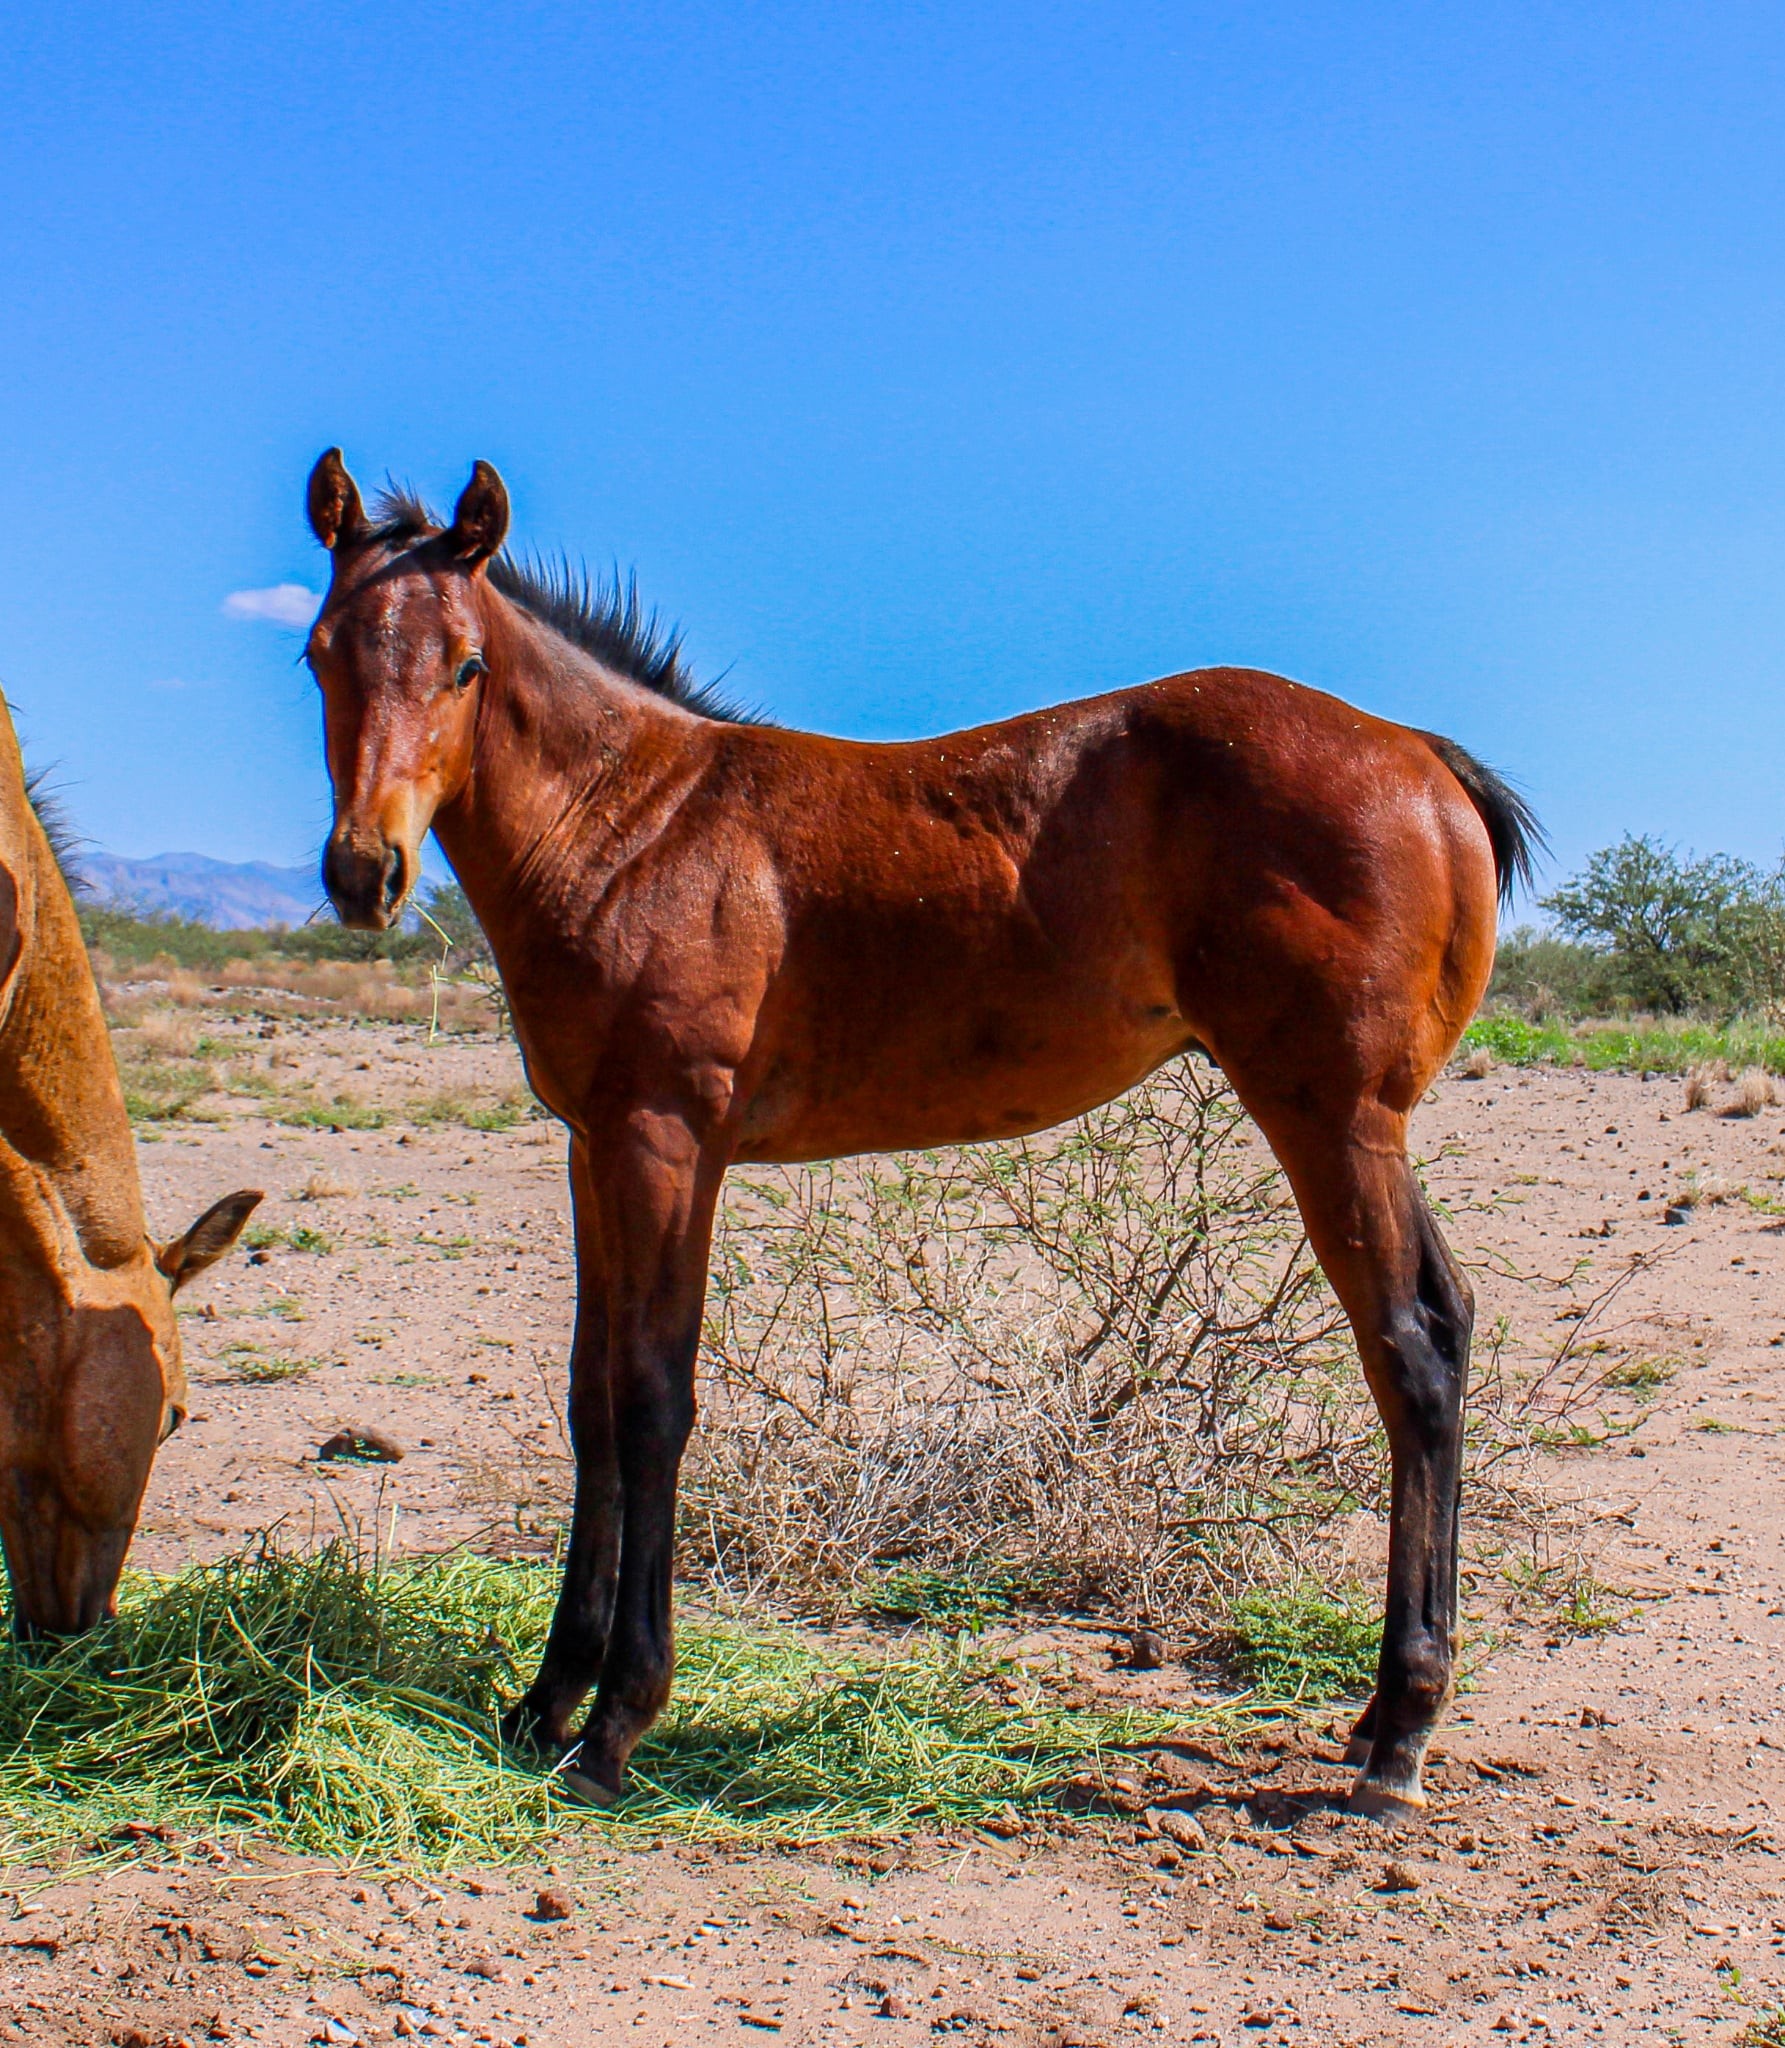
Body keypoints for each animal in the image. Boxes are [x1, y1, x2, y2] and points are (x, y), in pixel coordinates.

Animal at [304, 448, 1539, 1816]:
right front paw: (543, 1698)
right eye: (318, 653)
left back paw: (1402, 1730)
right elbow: (590, 1400)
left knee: (1411, 1348)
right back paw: (1382, 1718)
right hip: (1359, 1126)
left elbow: (653, 1396)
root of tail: (1423, 757)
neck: (634, 822)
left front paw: (617, 1719)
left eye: (465, 664)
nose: (363, 872)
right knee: (1450, 1318)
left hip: (1331, 1117)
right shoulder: (591, 1147)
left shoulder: (667, 1143)